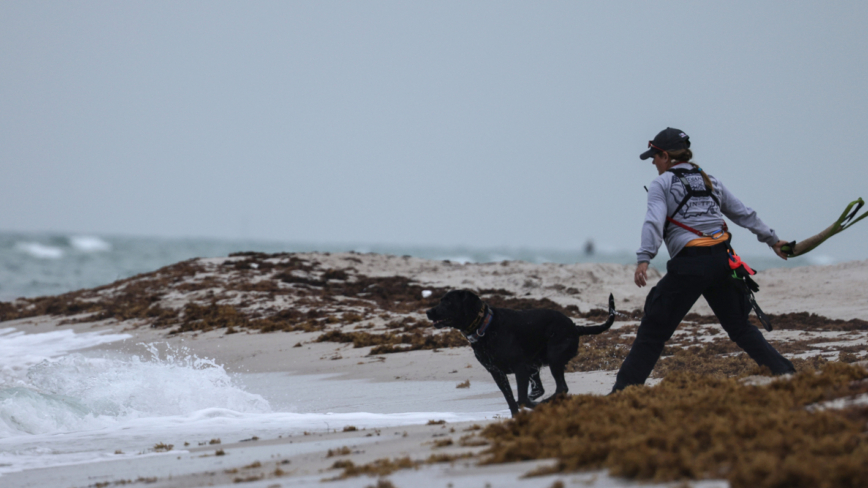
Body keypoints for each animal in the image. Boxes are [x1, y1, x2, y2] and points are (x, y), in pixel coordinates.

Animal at [424, 290, 612, 416]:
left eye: (448, 302)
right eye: (441, 300)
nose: (428, 311)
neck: (485, 327)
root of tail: (575, 327)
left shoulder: (520, 368)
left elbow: (521, 399)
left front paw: (531, 405)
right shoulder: (497, 373)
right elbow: (510, 399)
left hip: (554, 358)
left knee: (561, 388)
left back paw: (545, 403)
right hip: (535, 364)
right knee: (542, 388)